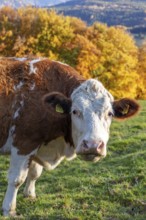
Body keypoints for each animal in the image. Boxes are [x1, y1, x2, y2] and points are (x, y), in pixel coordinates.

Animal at [0, 57, 140, 217]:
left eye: (109, 113)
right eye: (75, 111)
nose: (93, 145)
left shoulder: (38, 143)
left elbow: (34, 173)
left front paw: (30, 195)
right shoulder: (24, 143)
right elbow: (16, 179)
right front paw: (9, 209)